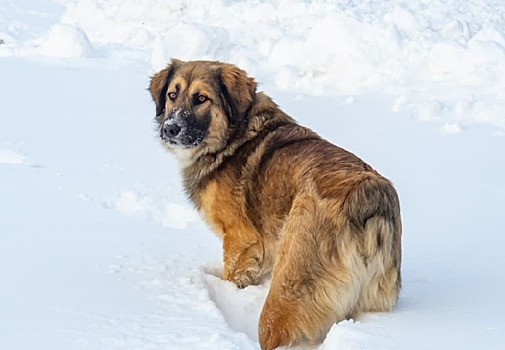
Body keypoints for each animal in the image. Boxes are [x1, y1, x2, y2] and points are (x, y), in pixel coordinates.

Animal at [147, 60, 402, 350]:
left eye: (201, 98)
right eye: (172, 95)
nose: (170, 128)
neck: (233, 136)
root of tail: (368, 196)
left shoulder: (241, 241)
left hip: (286, 290)